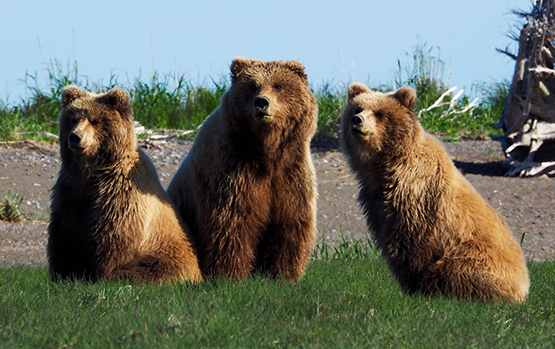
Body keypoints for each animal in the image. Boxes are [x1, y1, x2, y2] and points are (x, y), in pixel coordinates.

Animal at [47, 85, 203, 282]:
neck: (92, 171)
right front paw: (64, 273)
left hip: (166, 256)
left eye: (95, 120)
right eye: (73, 119)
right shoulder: (70, 192)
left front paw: (101, 274)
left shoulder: (120, 196)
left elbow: (112, 238)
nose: (75, 137)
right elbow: (64, 236)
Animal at [167, 57, 320, 280]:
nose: (262, 102)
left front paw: (284, 273)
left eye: (278, 85)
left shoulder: (290, 173)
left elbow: (290, 222)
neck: (267, 151)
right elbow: (233, 222)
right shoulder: (233, 169)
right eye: (252, 86)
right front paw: (231, 274)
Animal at [344, 82, 528, 302]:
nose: (357, 120)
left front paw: (414, 287)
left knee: (454, 269)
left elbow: (413, 242)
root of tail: (523, 287)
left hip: (475, 255)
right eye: (357, 108)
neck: (386, 166)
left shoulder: (416, 197)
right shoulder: (375, 201)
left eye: (379, 113)